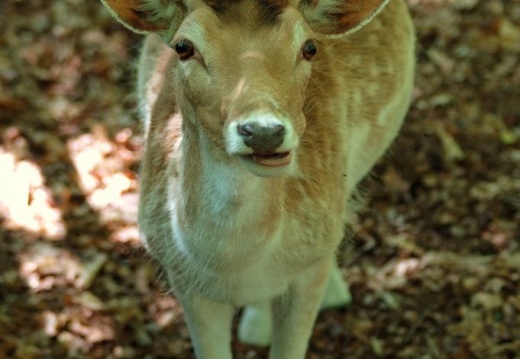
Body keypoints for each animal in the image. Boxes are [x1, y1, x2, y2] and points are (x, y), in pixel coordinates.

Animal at [100, 0, 414, 358]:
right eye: (183, 47)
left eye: (310, 47)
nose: (264, 131)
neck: (234, 263)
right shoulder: (181, 274)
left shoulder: (308, 271)